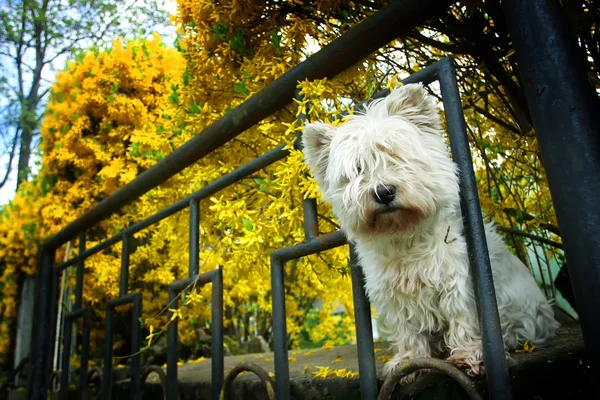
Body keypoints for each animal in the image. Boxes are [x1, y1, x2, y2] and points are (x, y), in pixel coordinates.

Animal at [302, 83, 560, 378]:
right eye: (358, 170)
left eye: (397, 157)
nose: (383, 192)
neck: (405, 235)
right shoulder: (393, 293)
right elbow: (407, 329)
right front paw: (409, 361)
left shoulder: (457, 280)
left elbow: (462, 318)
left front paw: (469, 357)